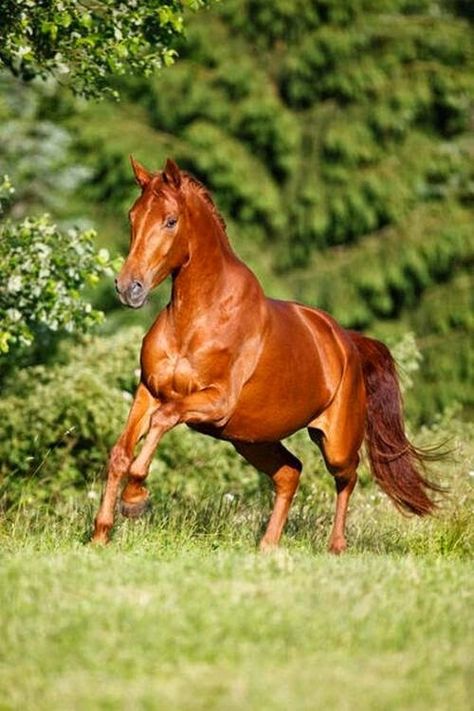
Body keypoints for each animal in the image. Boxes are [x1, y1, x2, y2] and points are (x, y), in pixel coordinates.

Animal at [91, 159, 440, 552]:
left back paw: (336, 546)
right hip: (252, 440)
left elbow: (163, 419)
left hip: (333, 441)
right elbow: (120, 453)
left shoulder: (215, 401)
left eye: (170, 220)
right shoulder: (148, 391)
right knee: (290, 472)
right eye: (132, 217)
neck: (196, 319)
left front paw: (134, 500)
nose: (128, 288)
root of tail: (347, 342)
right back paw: (267, 546)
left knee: (346, 476)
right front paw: (100, 534)